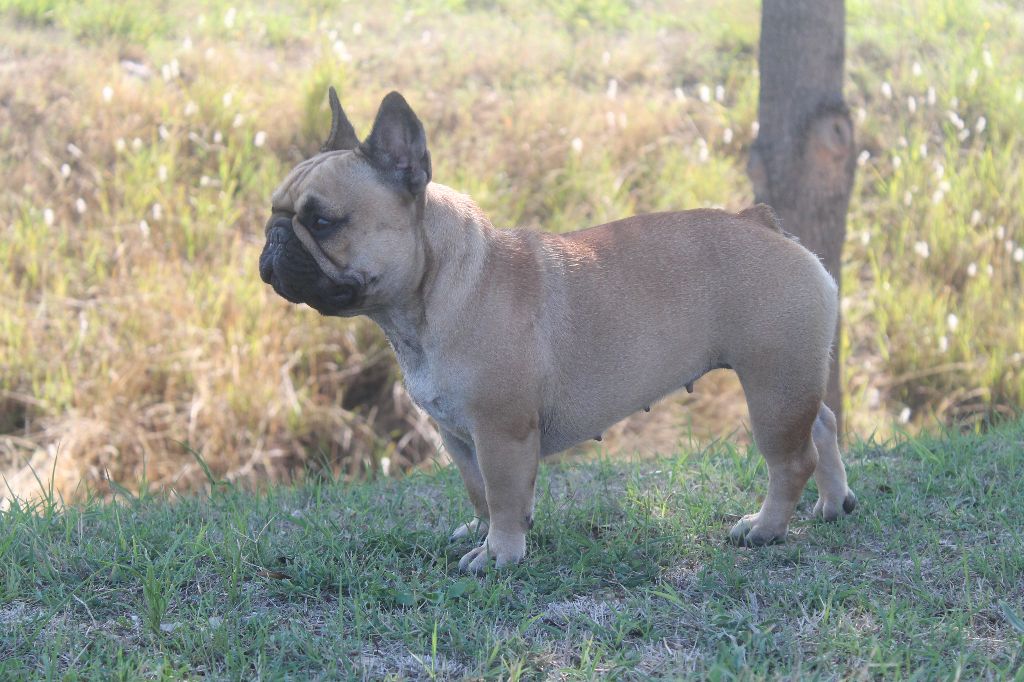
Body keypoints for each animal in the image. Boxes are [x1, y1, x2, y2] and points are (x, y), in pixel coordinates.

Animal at [259, 88, 857, 573]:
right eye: (275, 210)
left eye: (322, 221)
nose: (273, 238)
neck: (431, 293)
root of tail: (765, 224)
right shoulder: (459, 437)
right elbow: (479, 494)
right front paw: (481, 534)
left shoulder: (501, 433)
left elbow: (503, 497)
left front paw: (498, 554)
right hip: (792, 379)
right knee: (824, 423)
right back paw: (834, 503)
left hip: (773, 386)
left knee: (792, 459)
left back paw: (766, 529)